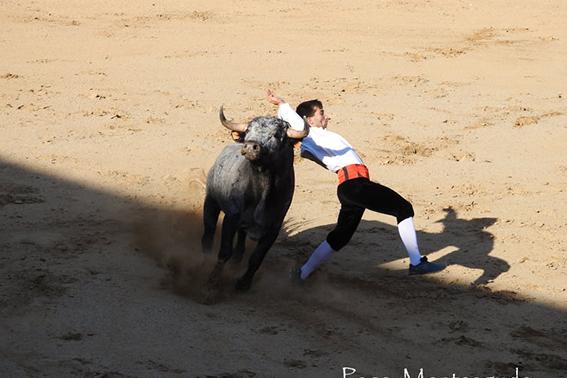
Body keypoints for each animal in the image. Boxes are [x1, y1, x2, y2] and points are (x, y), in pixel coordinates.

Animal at [204, 106, 308, 292]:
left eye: (277, 134)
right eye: (247, 131)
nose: (250, 146)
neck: (263, 191)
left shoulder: (273, 229)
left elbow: (256, 258)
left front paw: (243, 283)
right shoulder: (231, 218)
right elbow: (224, 251)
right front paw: (212, 282)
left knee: (241, 240)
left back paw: (237, 261)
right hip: (211, 202)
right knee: (208, 235)